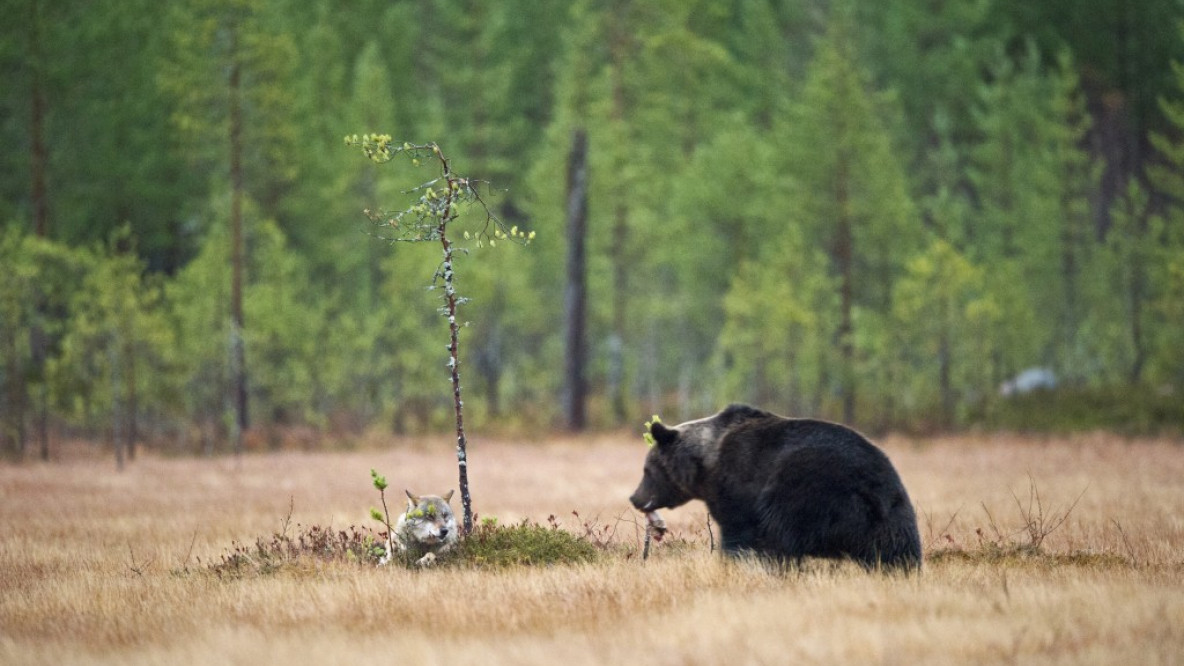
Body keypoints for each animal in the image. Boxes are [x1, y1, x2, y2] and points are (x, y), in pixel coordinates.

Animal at [629, 402, 923, 568]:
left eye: (647, 469)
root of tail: (872, 492)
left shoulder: (737, 484)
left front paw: (734, 561)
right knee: (898, 551)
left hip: (805, 492)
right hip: (895, 513)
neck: (706, 464)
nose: (634, 497)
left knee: (782, 532)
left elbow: (737, 533)